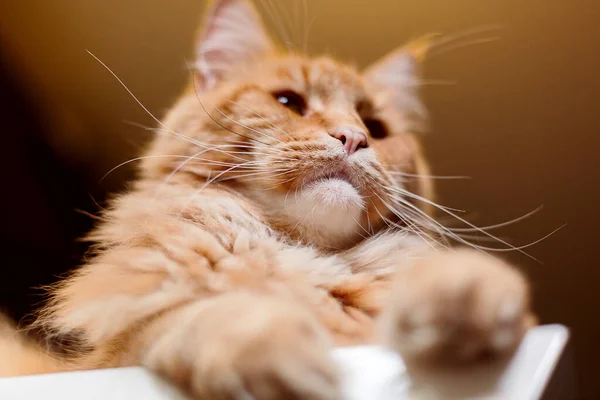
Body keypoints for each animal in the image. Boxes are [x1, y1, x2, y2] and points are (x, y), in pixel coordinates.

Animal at [0, 0, 536, 398]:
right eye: (288, 102)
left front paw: (461, 292)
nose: (353, 138)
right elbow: (194, 317)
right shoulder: (103, 362)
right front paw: (271, 344)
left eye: (377, 128)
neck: (304, 261)